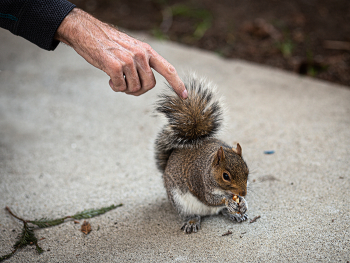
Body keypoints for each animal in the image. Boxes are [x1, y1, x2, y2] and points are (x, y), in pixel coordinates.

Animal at [155, 74, 249, 235]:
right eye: (225, 176)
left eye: (247, 170)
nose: (243, 193)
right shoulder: (199, 182)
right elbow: (210, 199)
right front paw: (229, 201)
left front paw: (243, 203)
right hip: (179, 202)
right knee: (193, 213)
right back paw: (192, 221)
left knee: (221, 211)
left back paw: (233, 214)